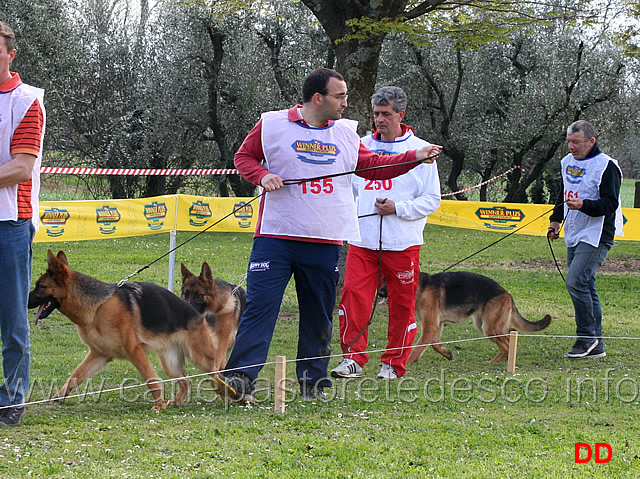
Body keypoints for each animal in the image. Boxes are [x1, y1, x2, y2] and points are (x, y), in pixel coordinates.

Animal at [28, 249, 228, 410]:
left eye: (39, 286)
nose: (25, 302)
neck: (98, 306)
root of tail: (197, 314)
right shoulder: (99, 355)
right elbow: (75, 376)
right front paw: (59, 395)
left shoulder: (134, 351)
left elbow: (152, 380)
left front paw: (159, 405)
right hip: (170, 364)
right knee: (185, 381)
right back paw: (178, 402)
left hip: (201, 358)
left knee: (217, 374)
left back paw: (229, 392)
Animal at [404, 270, 552, 364]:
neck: (421, 288)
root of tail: (507, 294)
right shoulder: (436, 325)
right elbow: (435, 344)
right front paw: (447, 353)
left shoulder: (431, 326)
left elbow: (418, 347)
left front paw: (408, 362)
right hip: (486, 325)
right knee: (510, 334)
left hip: (489, 328)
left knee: (506, 345)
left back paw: (493, 361)